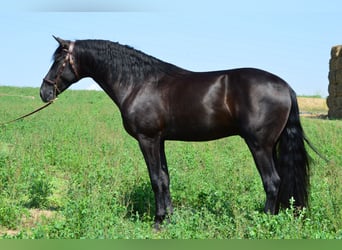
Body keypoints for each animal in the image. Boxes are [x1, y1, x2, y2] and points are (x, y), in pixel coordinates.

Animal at [40, 36, 310, 229]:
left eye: (58, 62)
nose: (44, 92)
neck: (139, 83)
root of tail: (286, 87)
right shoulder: (159, 140)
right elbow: (165, 178)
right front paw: (169, 219)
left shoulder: (147, 139)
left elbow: (155, 179)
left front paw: (158, 222)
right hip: (270, 146)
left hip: (259, 146)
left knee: (272, 182)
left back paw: (265, 223)